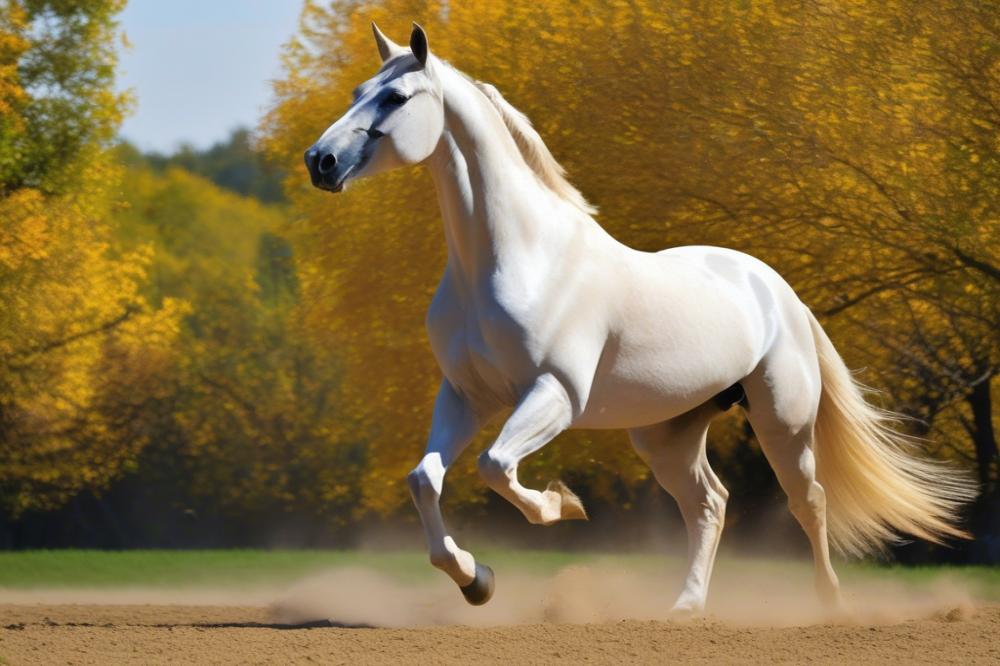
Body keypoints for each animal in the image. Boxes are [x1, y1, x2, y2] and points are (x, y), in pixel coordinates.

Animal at [308, 23, 972, 608]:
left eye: (395, 97)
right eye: (356, 92)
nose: (321, 161)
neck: (518, 258)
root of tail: (780, 293)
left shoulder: (555, 394)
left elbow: (496, 467)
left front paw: (563, 505)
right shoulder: (467, 396)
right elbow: (425, 480)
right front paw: (477, 582)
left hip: (783, 421)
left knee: (808, 502)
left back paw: (829, 606)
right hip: (667, 433)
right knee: (710, 505)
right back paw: (685, 606)